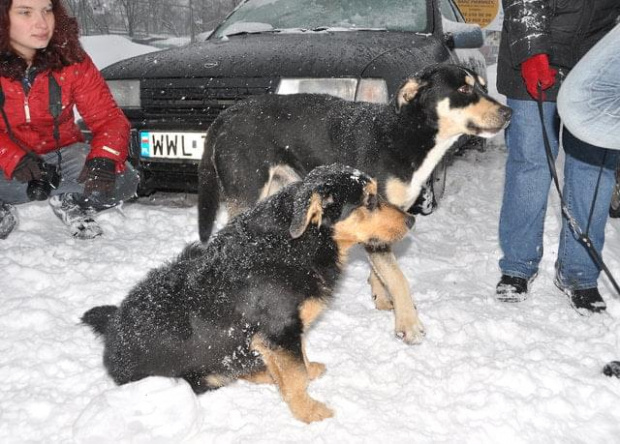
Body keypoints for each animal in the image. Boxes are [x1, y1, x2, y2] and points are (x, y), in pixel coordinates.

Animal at [81, 164, 412, 424]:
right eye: (369, 200)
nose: (412, 220)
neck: (300, 242)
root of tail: (111, 331)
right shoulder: (279, 331)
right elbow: (296, 377)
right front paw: (308, 411)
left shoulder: (286, 333)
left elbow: (299, 360)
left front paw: (306, 372)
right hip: (198, 374)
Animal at [199, 64, 512, 346]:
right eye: (464, 89)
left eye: (483, 86)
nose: (509, 113)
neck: (406, 134)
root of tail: (225, 115)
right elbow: (398, 277)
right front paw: (409, 326)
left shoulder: (383, 220)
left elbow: (382, 271)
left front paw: (382, 298)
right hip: (247, 191)